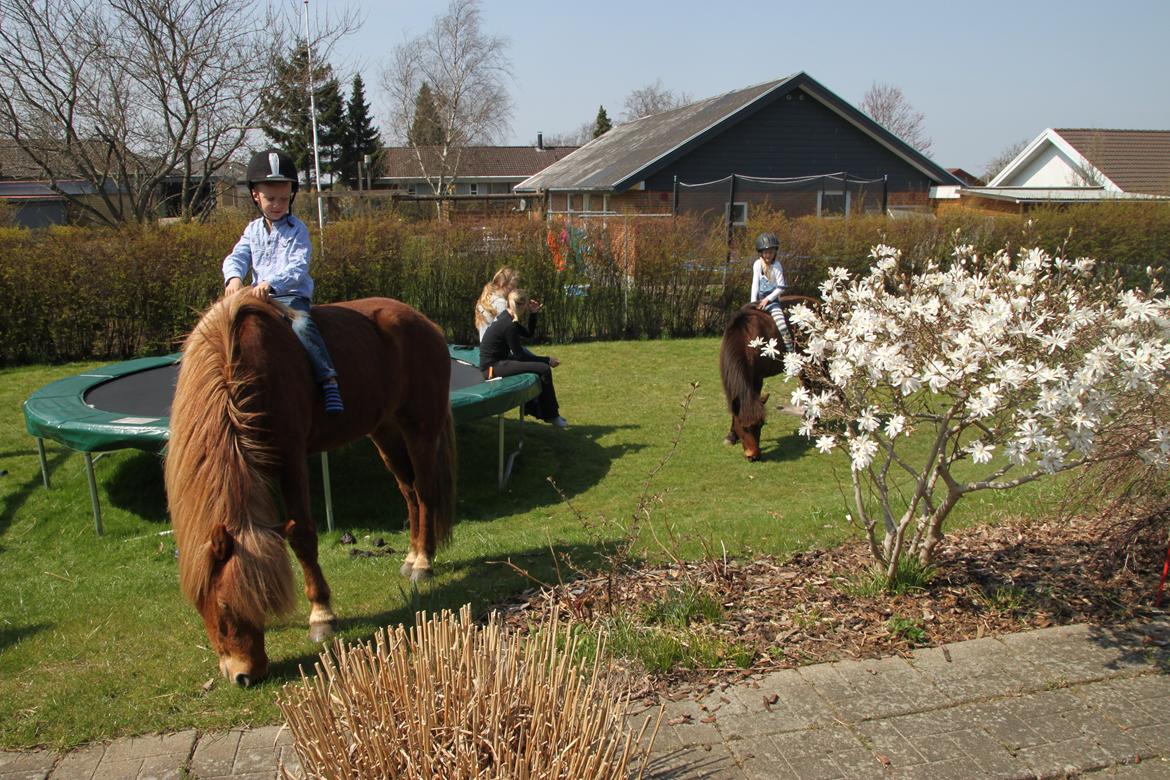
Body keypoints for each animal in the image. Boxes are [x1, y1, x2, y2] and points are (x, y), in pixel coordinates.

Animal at [164, 294, 456, 687]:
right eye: (206, 604)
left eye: (229, 604)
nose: (244, 675)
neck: (236, 371)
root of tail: (424, 322)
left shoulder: (290, 458)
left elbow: (301, 536)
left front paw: (321, 614)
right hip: (384, 430)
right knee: (408, 492)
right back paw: (411, 557)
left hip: (419, 429)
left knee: (424, 492)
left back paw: (423, 561)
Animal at [716, 295, 819, 460]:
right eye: (744, 428)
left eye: (760, 425)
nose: (754, 456)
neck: (744, 338)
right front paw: (731, 435)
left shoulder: (757, 379)